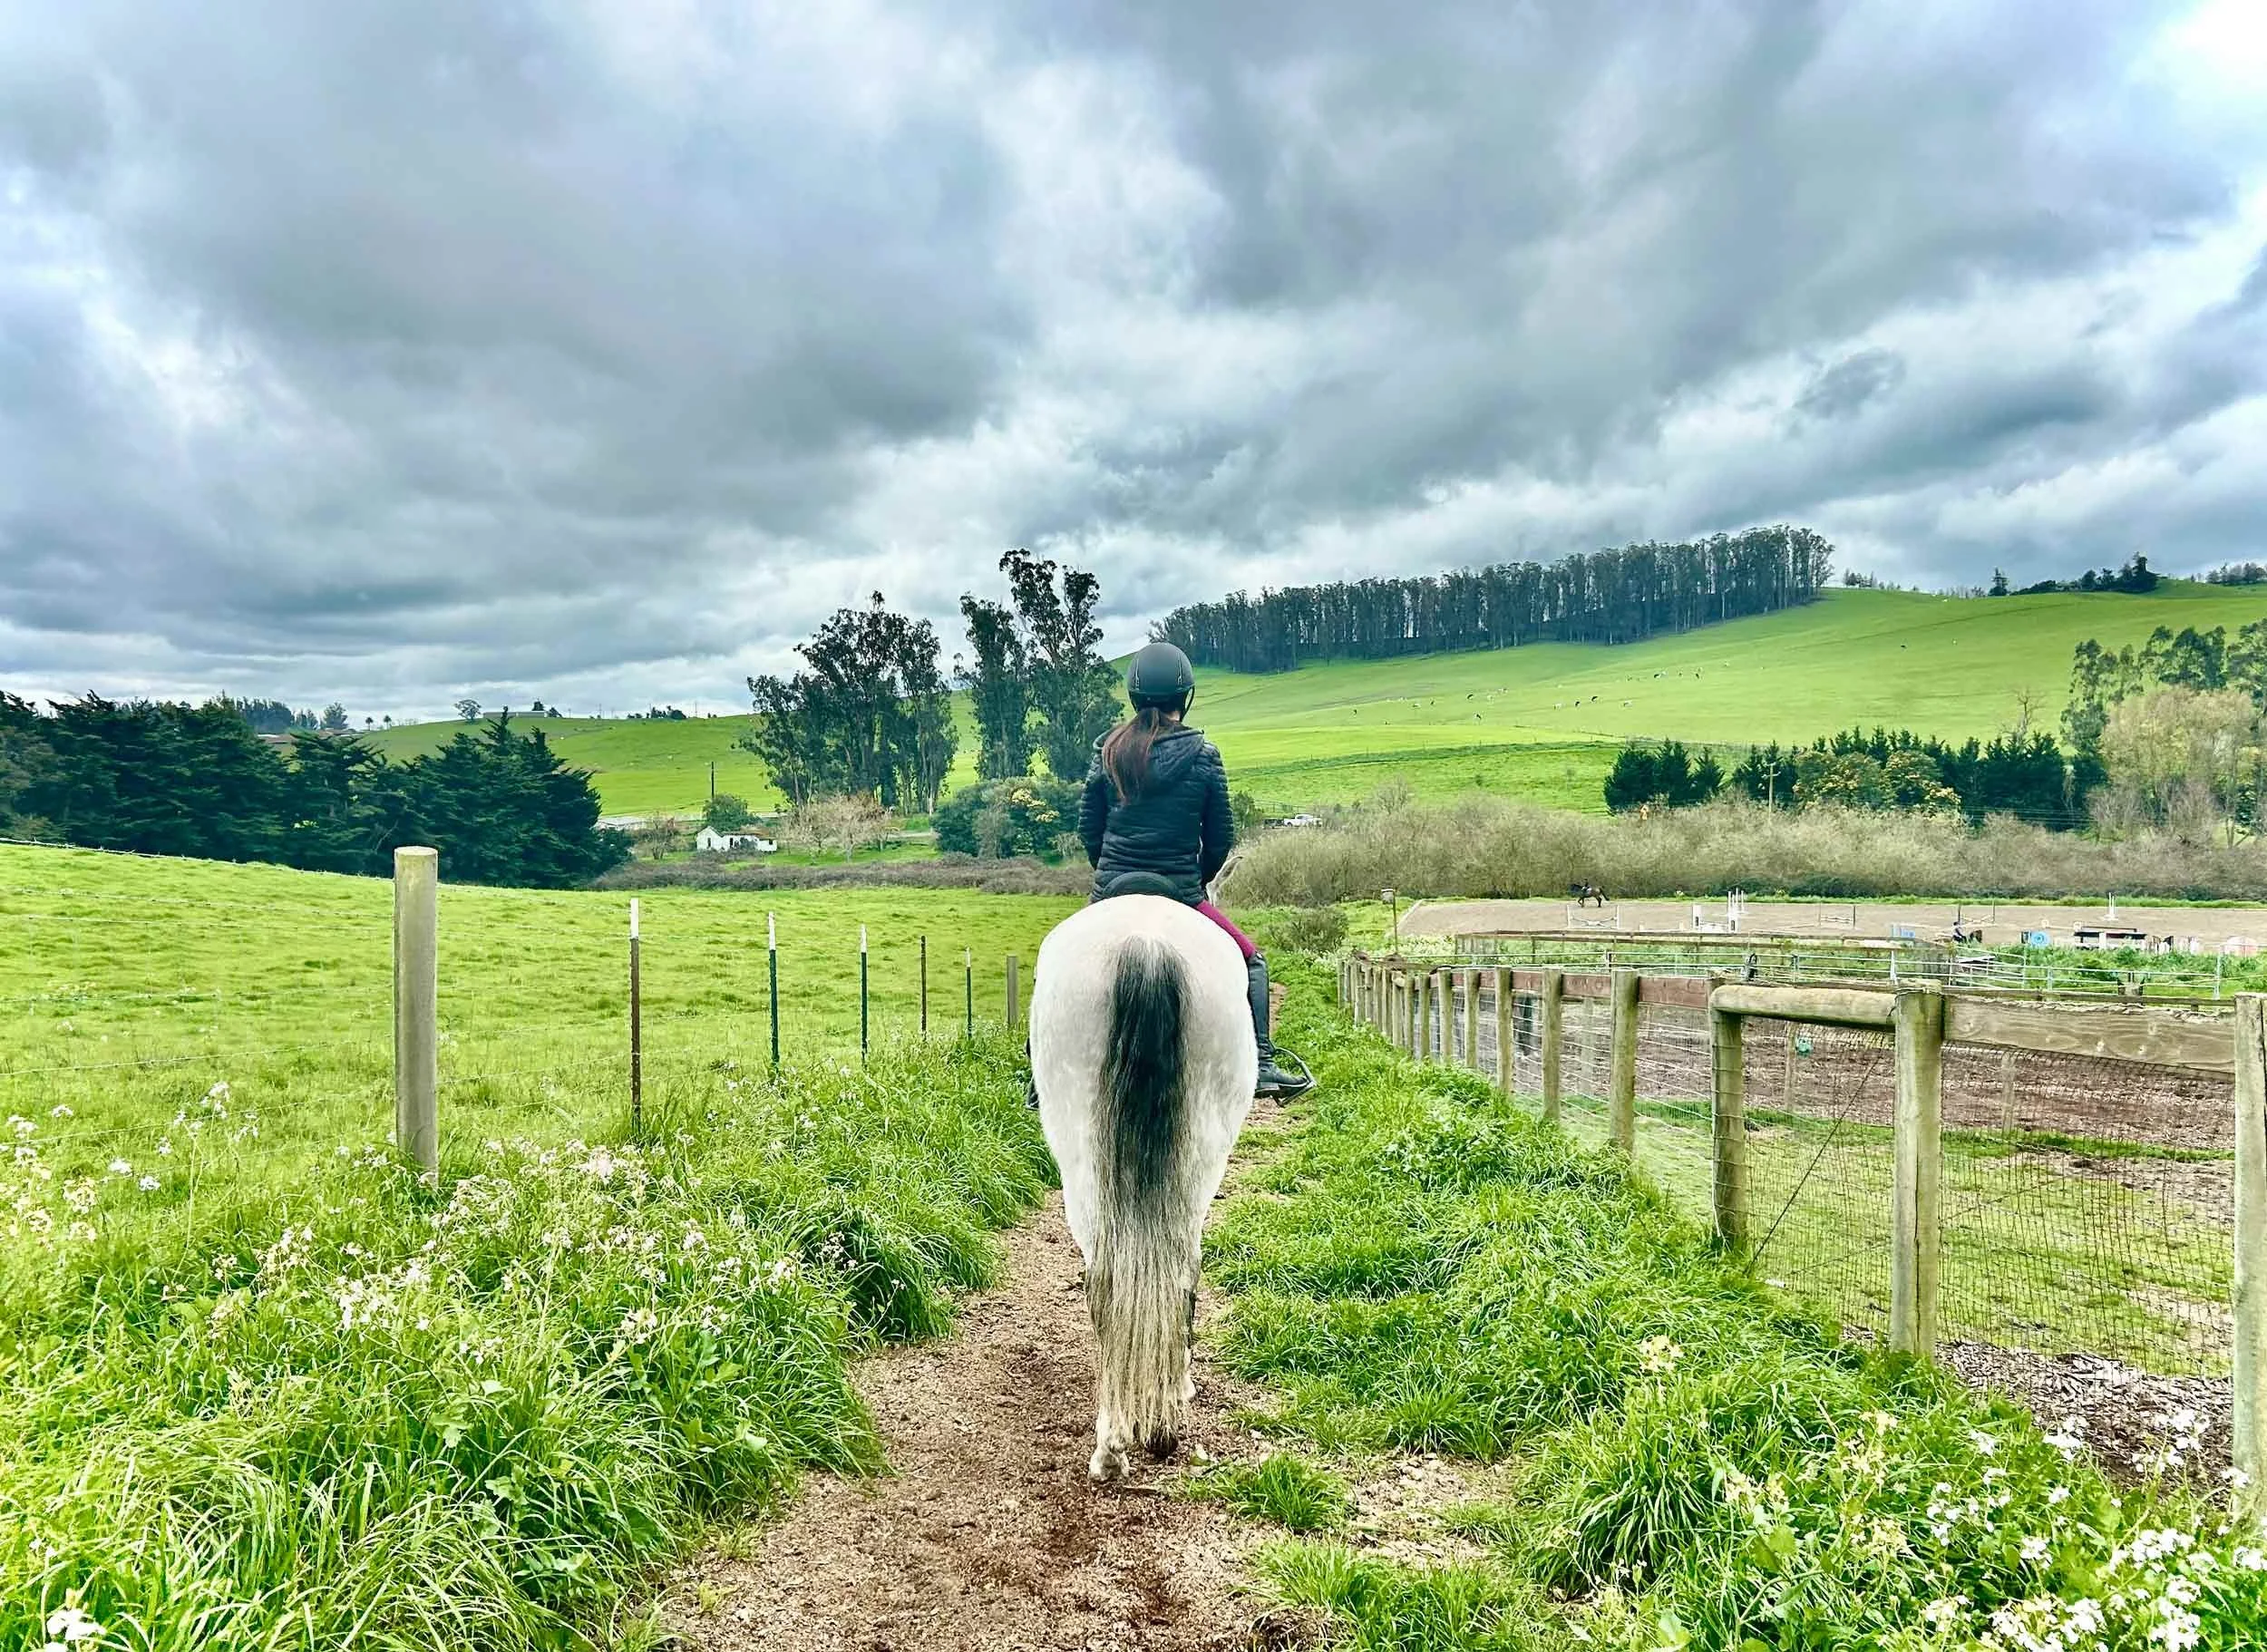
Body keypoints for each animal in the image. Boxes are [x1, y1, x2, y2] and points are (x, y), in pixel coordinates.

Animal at [1028, 895, 1257, 1483]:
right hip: (1198, 1160)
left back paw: (1115, 1445)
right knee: (1175, 1272)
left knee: (1113, 1281)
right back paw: (1149, 1425)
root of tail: (1147, 948)